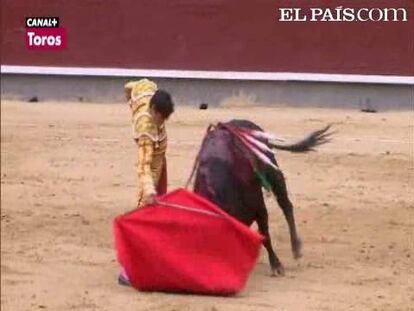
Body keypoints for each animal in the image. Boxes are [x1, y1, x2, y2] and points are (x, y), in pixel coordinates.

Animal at [192, 120, 332, 276]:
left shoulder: (258, 206)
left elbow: (264, 235)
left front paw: (276, 265)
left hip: (274, 172)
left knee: (286, 205)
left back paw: (296, 248)